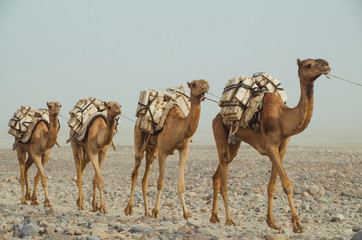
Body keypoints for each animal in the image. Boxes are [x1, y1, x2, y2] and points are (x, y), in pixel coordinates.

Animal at [124, 79, 209, 218]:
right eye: (194, 84)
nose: (206, 84)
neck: (178, 126)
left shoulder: (184, 149)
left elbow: (181, 184)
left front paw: (186, 213)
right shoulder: (163, 151)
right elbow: (160, 183)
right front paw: (156, 211)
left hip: (152, 149)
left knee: (145, 178)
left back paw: (146, 211)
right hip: (139, 138)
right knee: (135, 172)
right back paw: (129, 208)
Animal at [209, 58, 330, 232]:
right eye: (308, 65)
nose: (326, 64)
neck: (282, 117)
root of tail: (217, 115)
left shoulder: (281, 149)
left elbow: (272, 186)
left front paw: (272, 222)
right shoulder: (270, 146)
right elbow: (287, 184)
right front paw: (297, 224)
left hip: (234, 142)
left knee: (218, 173)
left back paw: (214, 217)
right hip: (219, 129)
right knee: (224, 171)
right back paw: (229, 219)